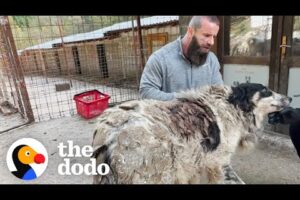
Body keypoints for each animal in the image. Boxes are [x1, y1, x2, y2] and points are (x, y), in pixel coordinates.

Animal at [91, 83, 290, 184]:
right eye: (266, 91)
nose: (289, 97)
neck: (233, 105)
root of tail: (107, 132)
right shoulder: (217, 163)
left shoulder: (194, 161)